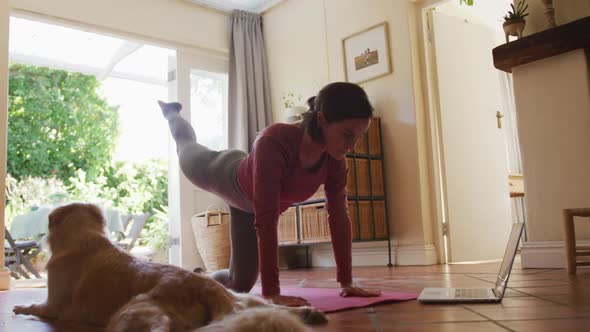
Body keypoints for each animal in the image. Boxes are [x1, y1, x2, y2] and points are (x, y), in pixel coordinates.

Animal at [12, 204, 328, 330]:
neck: (86, 237)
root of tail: (205, 288)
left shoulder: (52, 304)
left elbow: (36, 306)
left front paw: (20, 307)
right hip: (244, 298)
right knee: (272, 306)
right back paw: (307, 312)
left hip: (135, 308)